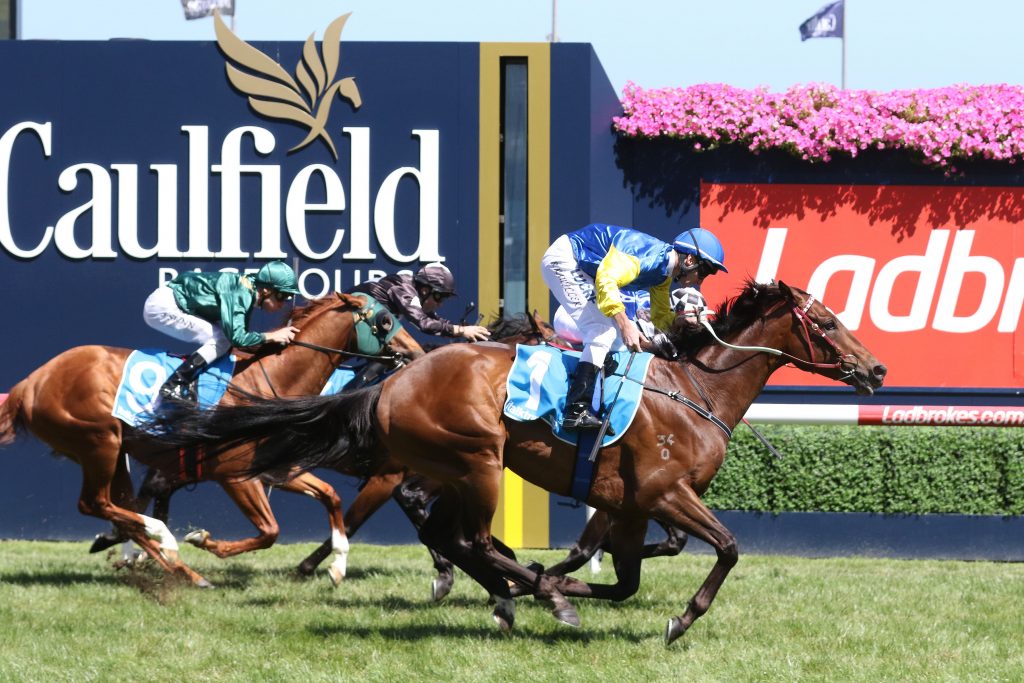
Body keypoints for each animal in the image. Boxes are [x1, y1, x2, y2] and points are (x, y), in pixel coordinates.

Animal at [0, 292, 424, 587]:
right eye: (386, 319)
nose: (417, 352)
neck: (270, 385)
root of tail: (31, 382)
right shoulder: (235, 475)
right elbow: (270, 532)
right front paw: (205, 541)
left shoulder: (276, 468)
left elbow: (331, 499)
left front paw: (337, 566)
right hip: (97, 441)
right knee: (97, 503)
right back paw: (163, 538)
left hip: (113, 449)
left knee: (119, 507)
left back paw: (180, 569)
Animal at [148, 281, 886, 643]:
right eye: (826, 321)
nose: (876, 368)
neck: (693, 393)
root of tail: (393, 380)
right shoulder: (663, 492)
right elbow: (726, 547)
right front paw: (674, 618)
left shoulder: (631, 506)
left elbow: (627, 579)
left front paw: (569, 581)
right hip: (477, 457)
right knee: (468, 538)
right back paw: (528, 591)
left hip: (453, 466)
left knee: (449, 535)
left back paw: (516, 591)